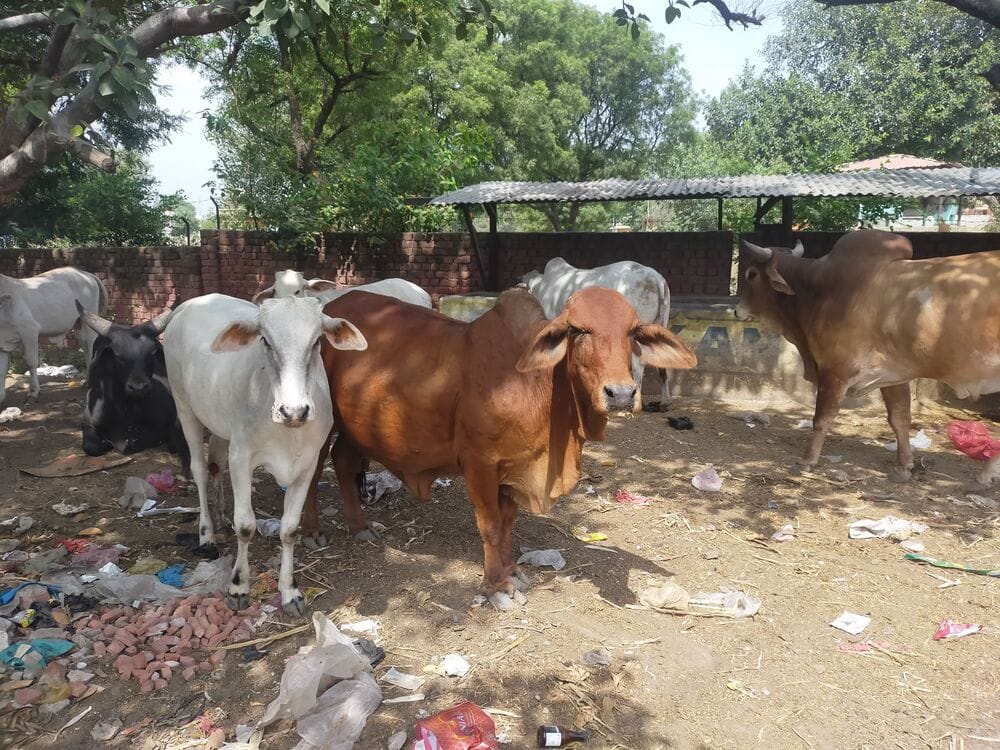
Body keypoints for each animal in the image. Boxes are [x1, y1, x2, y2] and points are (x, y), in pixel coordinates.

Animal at [0, 267, 107, 405]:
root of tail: (84, 273)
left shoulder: (29, 331)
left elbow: (31, 363)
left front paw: (33, 393)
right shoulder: (3, 342)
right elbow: (2, 370)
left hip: (89, 317)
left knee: (91, 343)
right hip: (79, 323)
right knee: (85, 346)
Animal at [75, 302, 190, 475]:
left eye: (152, 353)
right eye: (117, 355)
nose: (138, 387)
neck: (129, 409)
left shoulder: (175, 419)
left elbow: (176, 444)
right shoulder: (87, 421)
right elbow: (90, 447)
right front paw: (106, 444)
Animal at [163, 294, 366, 614]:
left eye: (316, 342)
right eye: (266, 341)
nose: (293, 411)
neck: (288, 431)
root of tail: (190, 304)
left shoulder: (307, 465)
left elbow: (289, 529)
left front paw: (290, 591)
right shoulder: (241, 457)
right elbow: (246, 527)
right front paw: (238, 586)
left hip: (221, 427)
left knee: (215, 464)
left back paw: (222, 518)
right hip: (185, 408)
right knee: (199, 469)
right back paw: (207, 534)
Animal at [303, 287, 696, 608]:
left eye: (632, 332)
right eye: (577, 330)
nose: (622, 394)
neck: (537, 386)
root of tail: (332, 307)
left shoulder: (512, 466)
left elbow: (507, 523)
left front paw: (511, 571)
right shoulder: (479, 463)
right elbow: (490, 525)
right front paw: (495, 586)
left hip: (354, 427)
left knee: (343, 460)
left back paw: (359, 525)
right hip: (320, 424)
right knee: (313, 472)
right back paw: (311, 531)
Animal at [736, 229, 1000, 483]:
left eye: (751, 274)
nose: (737, 310)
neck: (816, 288)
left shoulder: (835, 371)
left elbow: (822, 419)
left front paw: (806, 461)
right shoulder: (894, 376)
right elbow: (900, 419)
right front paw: (904, 467)